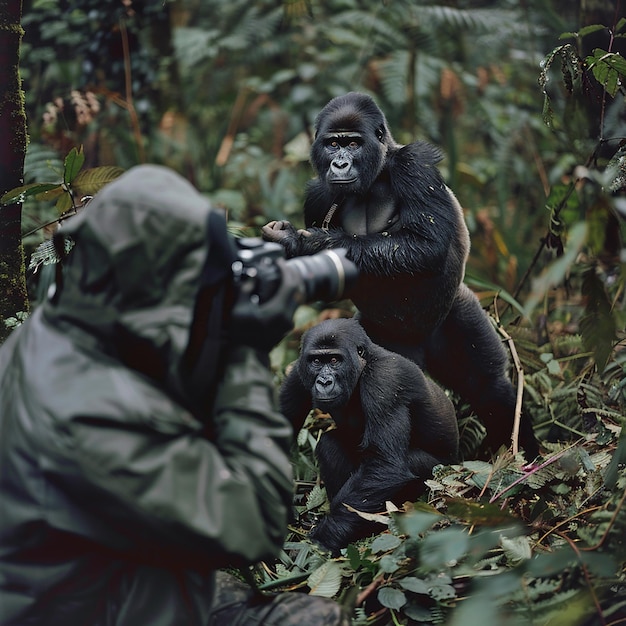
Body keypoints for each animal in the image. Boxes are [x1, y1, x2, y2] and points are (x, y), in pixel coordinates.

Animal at [264, 90, 536, 456]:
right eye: (333, 144)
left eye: (353, 143)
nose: (340, 164)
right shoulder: (316, 196)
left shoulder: (414, 164)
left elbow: (426, 245)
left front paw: (308, 243)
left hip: (454, 310)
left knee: (487, 385)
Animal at [280, 316, 456, 552]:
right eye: (316, 361)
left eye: (334, 360)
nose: (324, 382)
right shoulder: (299, 371)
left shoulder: (385, 380)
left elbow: (384, 465)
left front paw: (324, 537)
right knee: (329, 446)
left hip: (443, 471)